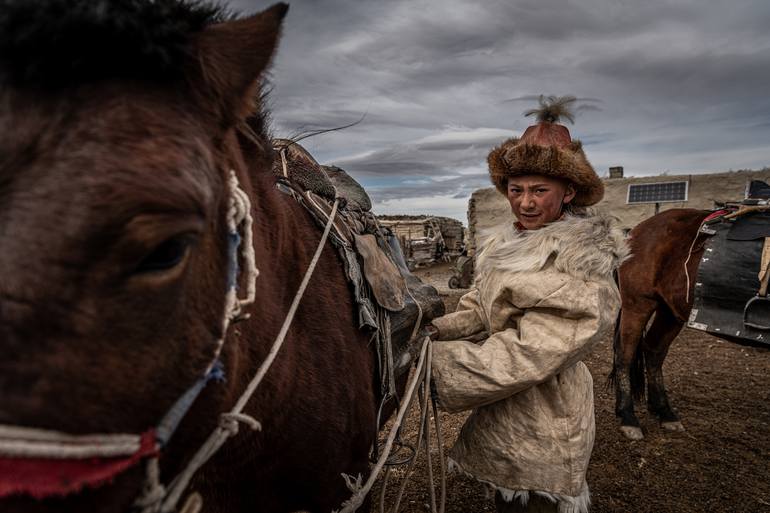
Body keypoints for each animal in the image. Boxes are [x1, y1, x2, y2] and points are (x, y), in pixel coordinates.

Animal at [608, 208, 712, 440]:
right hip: (638, 304)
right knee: (625, 353)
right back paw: (628, 416)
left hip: (670, 310)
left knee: (654, 350)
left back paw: (664, 411)